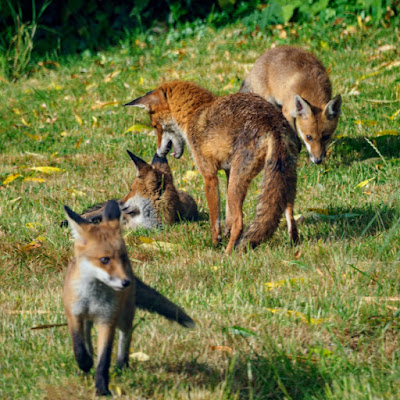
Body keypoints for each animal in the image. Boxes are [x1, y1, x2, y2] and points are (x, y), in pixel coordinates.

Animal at [61, 202, 195, 396]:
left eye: (123, 257)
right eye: (104, 260)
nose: (126, 282)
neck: (93, 298)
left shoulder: (107, 320)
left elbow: (104, 360)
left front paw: (102, 389)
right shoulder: (74, 314)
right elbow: (79, 347)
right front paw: (85, 364)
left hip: (124, 315)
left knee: (126, 335)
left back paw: (121, 365)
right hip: (88, 320)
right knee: (87, 340)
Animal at [125, 80, 300, 253]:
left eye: (156, 126)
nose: (158, 153)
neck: (194, 113)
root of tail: (273, 122)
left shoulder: (209, 176)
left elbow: (215, 218)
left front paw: (216, 242)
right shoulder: (228, 171)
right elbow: (227, 215)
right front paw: (225, 233)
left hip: (238, 182)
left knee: (240, 222)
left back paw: (228, 253)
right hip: (283, 178)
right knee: (289, 213)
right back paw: (293, 244)